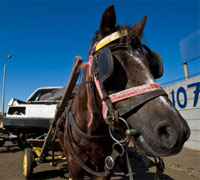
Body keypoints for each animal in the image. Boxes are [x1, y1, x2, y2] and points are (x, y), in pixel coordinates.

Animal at [56, 4, 191, 179]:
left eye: (153, 64)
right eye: (110, 66)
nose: (176, 131)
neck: (91, 132)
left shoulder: (103, 168)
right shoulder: (74, 167)